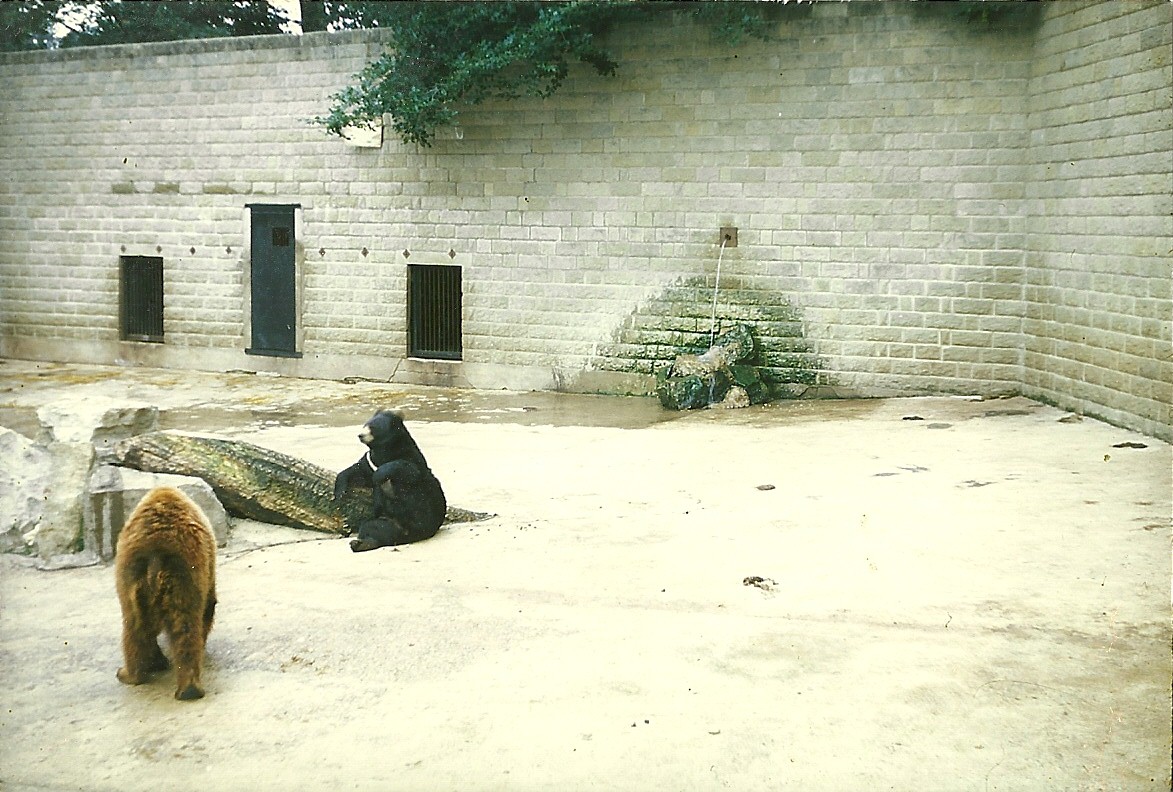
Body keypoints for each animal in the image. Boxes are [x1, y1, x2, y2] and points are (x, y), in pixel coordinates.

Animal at [114, 486, 217, 701]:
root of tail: (155, 554)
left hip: (134, 580)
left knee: (134, 626)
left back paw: (132, 673)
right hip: (183, 578)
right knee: (184, 627)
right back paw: (187, 687)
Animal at [334, 410, 447, 553]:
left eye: (373, 427)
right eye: (365, 424)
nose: (360, 435)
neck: (384, 451)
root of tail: (413, 534)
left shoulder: (410, 457)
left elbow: (408, 470)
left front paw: (378, 476)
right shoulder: (370, 461)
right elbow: (359, 472)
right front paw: (340, 492)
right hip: (387, 521)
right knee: (373, 527)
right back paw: (359, 543)